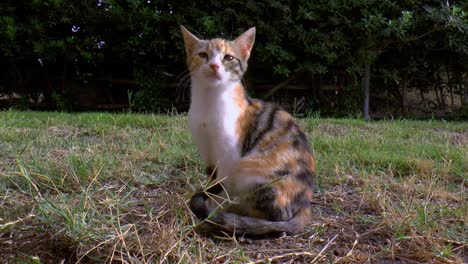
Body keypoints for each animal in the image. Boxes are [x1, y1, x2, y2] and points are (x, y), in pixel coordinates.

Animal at [181, 25, 316, 235]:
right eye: (203, 55)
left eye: (228, 58)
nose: (214, 66)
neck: (209, 103)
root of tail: (305, 204)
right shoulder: (208, 152)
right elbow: (212, 182)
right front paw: (209, 205)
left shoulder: (229, 156)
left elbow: (222, 186)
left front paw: (213, 211)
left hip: (251, 171)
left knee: (277, 215)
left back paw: (233, 214)